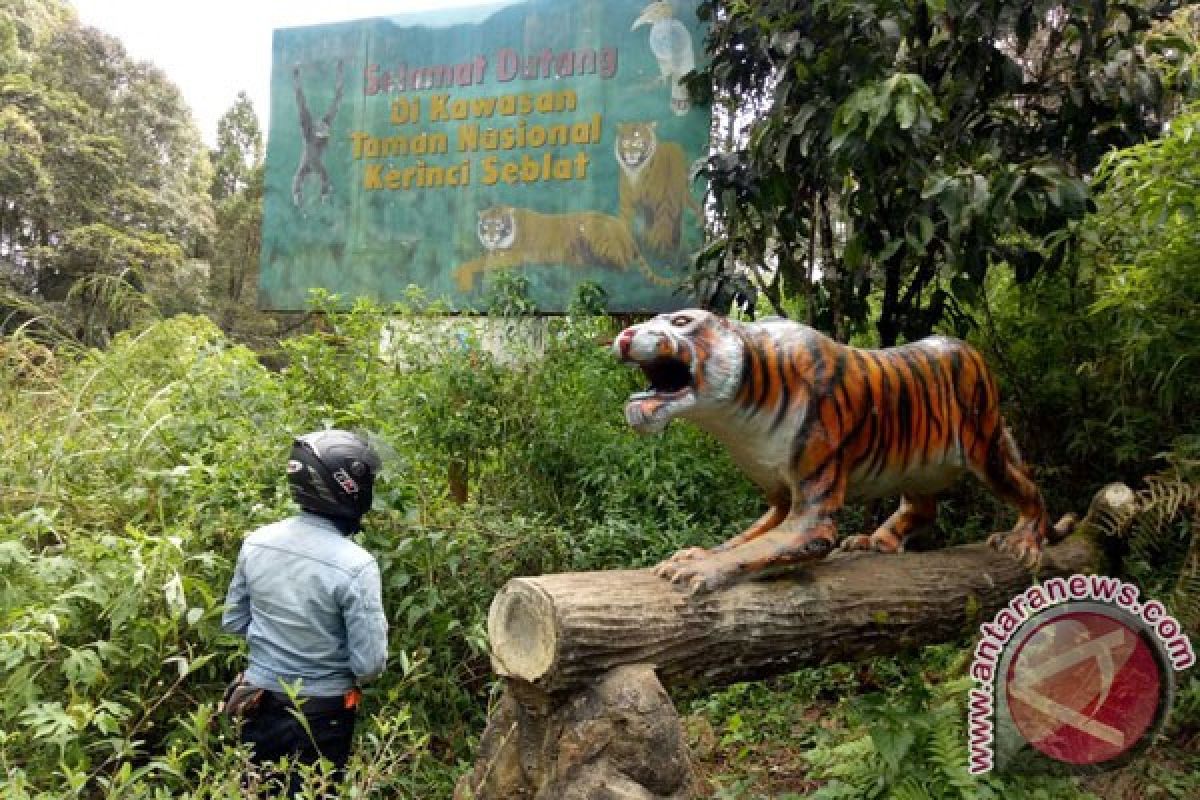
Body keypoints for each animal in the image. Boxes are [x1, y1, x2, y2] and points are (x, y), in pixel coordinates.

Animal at [614, 309, 1075, 592]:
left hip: (985, 449)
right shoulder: (781, 500)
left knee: (1028, 490)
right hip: (917, 467)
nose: (624, 335)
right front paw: (697, 553)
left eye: (681, 321)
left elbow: (756, 548)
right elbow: (744, 539)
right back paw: (875, 541)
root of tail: (970, 350)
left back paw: (1023, 539)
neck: (735, 413)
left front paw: (697, 567)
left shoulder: (811, 511)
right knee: (923, 507)